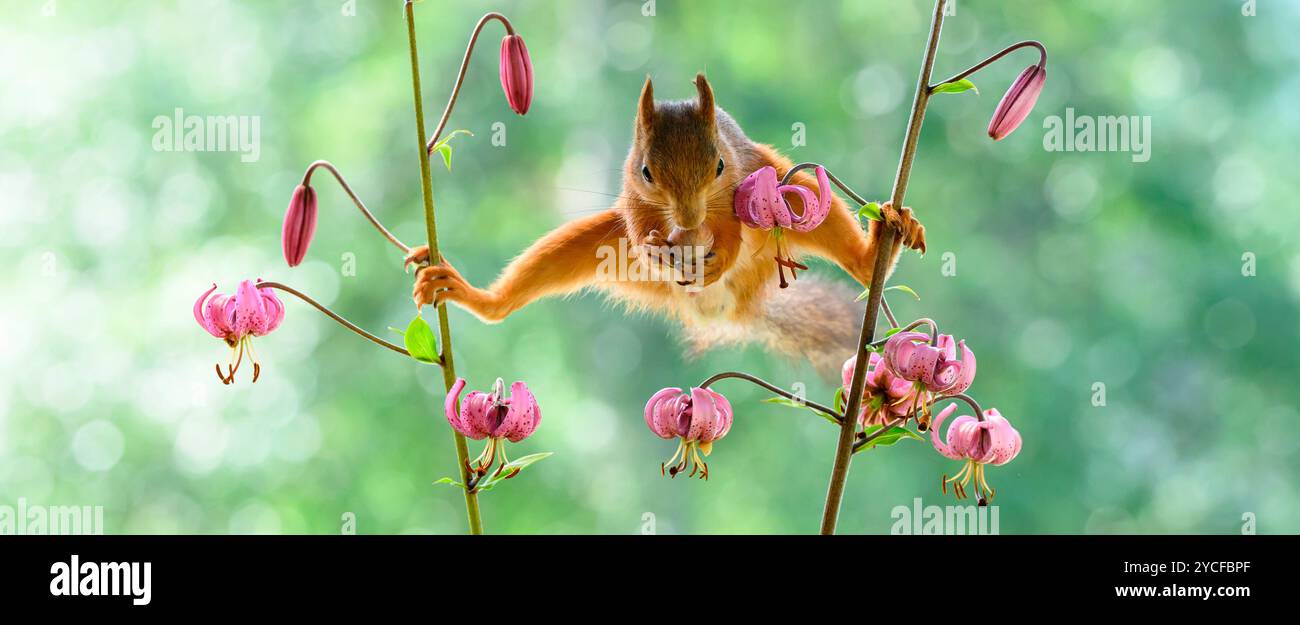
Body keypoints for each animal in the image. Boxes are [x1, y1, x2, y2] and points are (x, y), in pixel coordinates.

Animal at [405, 73, 925, 374]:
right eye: (647, 171)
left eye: (719, 165)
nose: (690, 220)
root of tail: (723, 311)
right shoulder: (632, 195)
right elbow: (637, 226)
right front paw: (653, 246)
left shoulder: (738, 186)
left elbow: (732, 233)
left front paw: (720, 256)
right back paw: (474, 296)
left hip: (790, 192)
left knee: (851, 254)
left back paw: (883, 241)